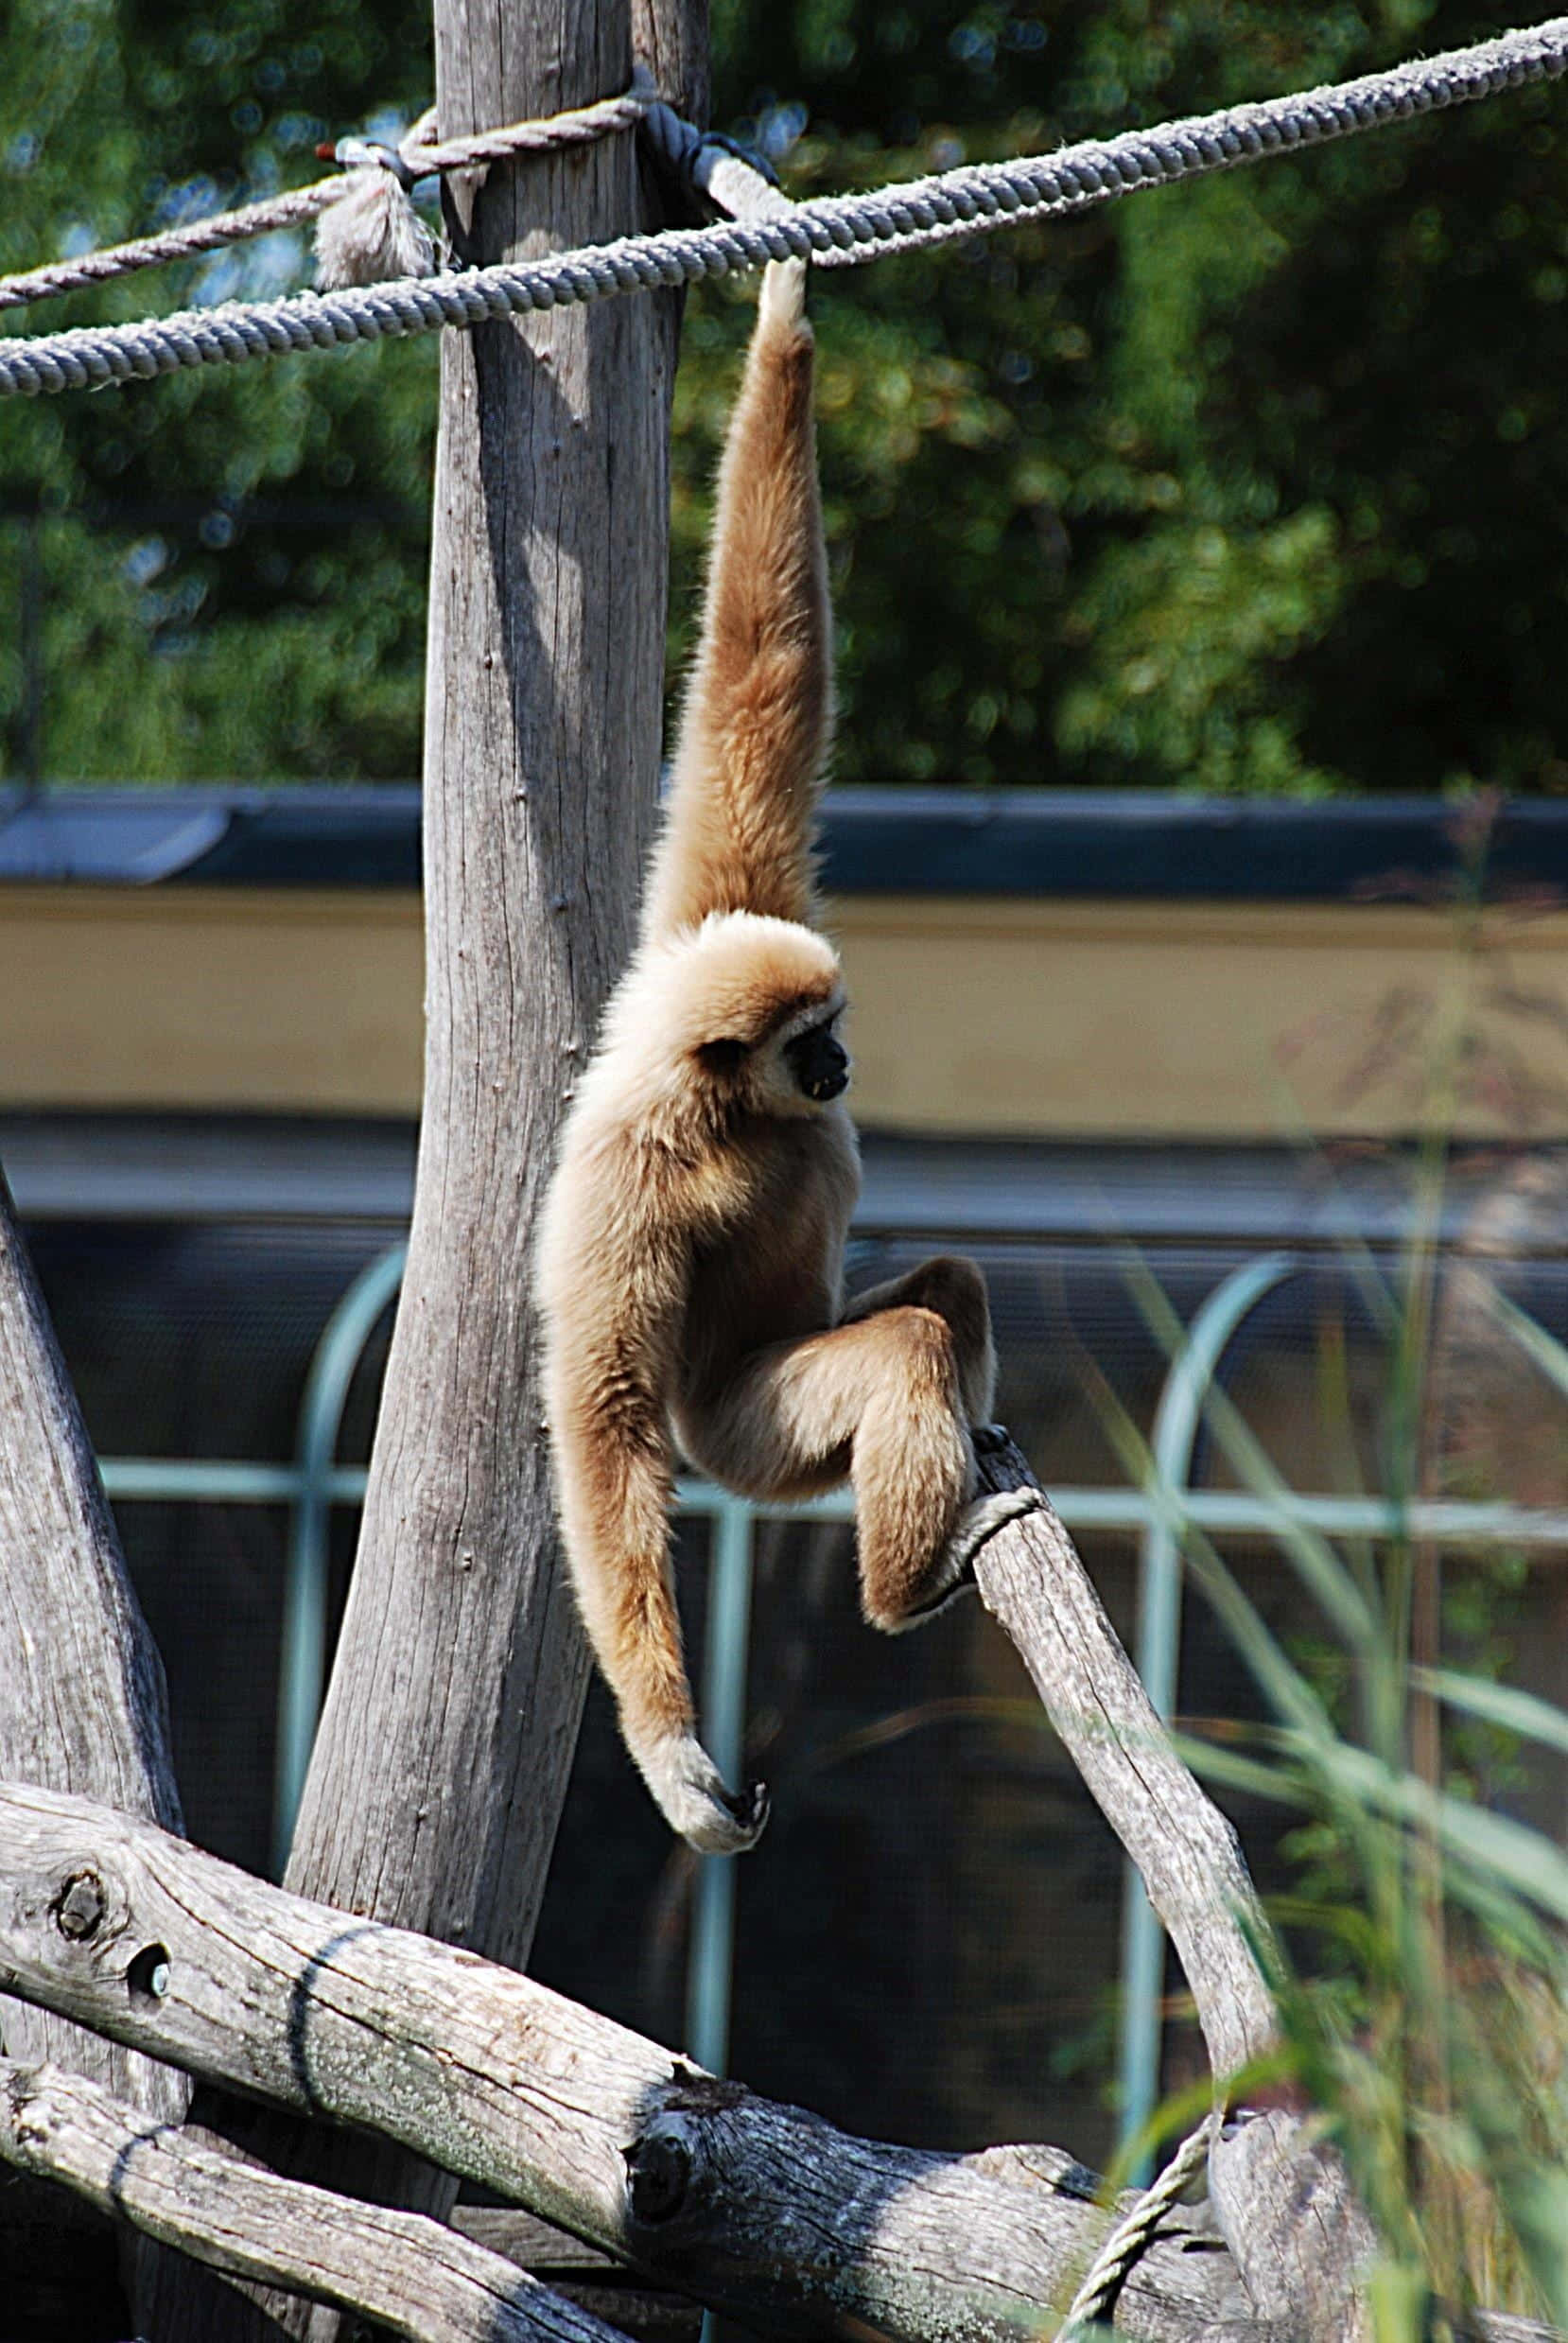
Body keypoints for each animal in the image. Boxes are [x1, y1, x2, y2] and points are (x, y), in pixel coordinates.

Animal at [536, 258, 1006, 1855]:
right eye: (814, 1044)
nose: (846, 1068)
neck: (724, 1107)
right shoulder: (616, 1183)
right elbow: (604, 1419)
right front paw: (671, 1753)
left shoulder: (705, 910)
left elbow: (757, 690)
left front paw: (782, 328)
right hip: (750, 1433)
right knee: (898, 1346)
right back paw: (903, 1589)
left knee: (941, 1292)